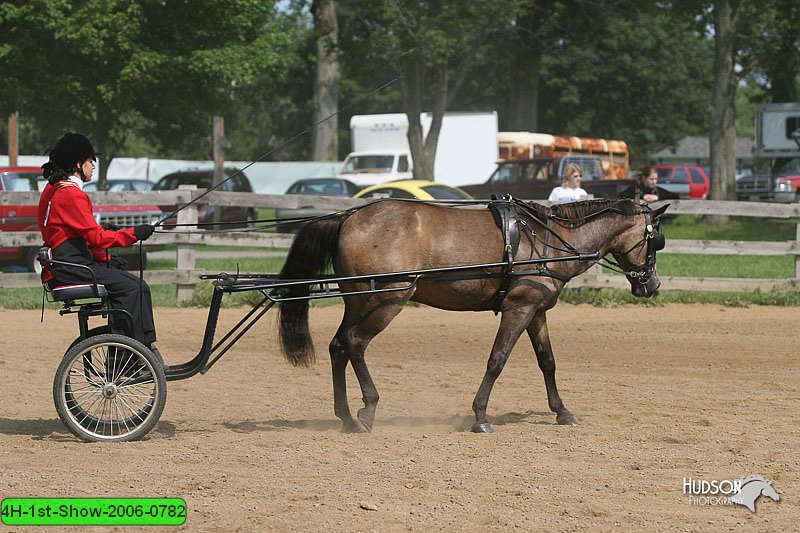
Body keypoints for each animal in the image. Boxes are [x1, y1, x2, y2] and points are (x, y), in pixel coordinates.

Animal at [278, 198, 664, 432]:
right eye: (656, 240)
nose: (653, 284)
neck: (550, 240)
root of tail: (347, 217)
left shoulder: (535, 311)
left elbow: (547, 362)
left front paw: (562, 411)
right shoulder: (517, 308)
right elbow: (497, 359)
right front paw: (480, 416)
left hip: (359, 302)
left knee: (339, 346)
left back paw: (345, 415)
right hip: (388, 300)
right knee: (355, 344)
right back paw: (367, 410)